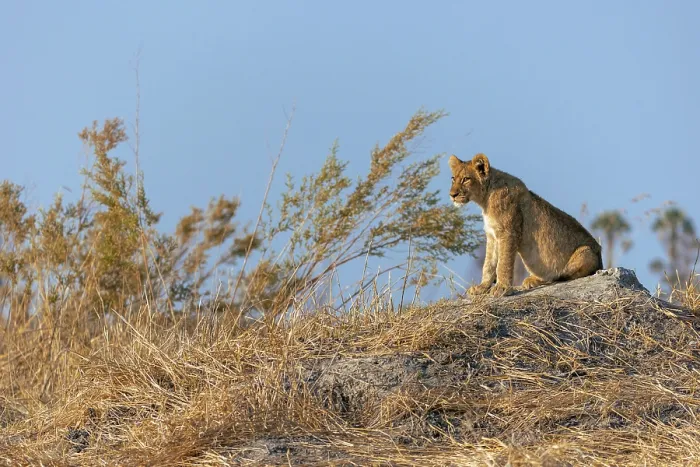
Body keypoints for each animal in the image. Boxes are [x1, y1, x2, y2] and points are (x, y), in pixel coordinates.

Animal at [449, 153, 603, 297]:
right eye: (453, 179)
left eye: (466, 179)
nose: (452, 195)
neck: (485, 199)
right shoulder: (492, 236)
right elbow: (488, 264)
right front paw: (482, 287)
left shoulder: (509, 232)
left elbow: (503, 263)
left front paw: (502, 288)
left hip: (586, 251)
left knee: (565, 275)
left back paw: (547, 277)